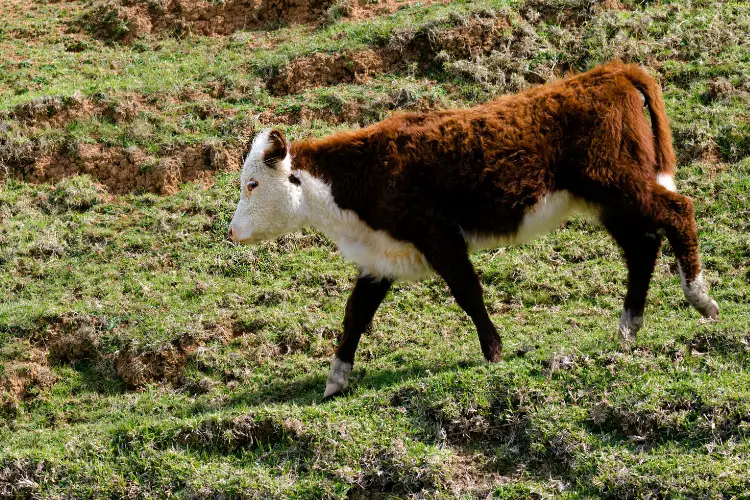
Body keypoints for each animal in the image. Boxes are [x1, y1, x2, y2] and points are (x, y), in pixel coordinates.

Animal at [231, 61, 724, 398]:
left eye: (252, 184)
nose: (233, 231)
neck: (363, 173)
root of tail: (614, 72)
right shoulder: (381, 255)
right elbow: (356, 313)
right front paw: (335, 380)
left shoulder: (439, 237)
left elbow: (468, 292)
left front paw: (493, 351)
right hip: (609, 201)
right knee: (642, 246)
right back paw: (628, 327)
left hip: (619, 185)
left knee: (678, 210)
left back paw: (700, 298)